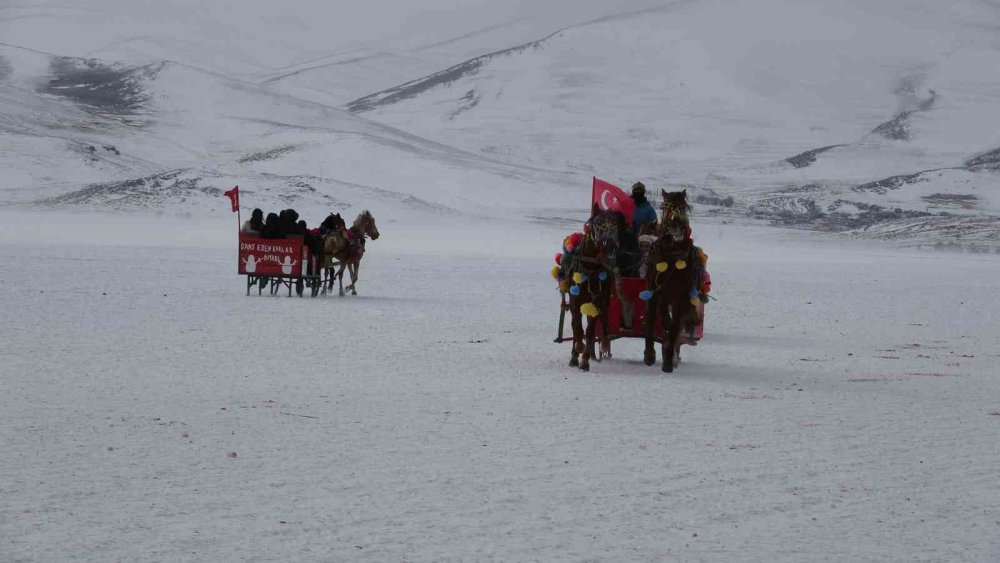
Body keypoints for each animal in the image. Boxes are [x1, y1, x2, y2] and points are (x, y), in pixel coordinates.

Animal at [568, 205, 620, 372]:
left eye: (615, 224)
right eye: (598, 223)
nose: (611, 244)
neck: (590, 268)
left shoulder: (596, 302)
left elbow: (590, 331)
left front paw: (585, 361)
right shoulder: (575, 300)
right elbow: (578, 328)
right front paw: (577, 350)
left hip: (604, 301)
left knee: (603, 322)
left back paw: (601, 345)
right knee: (574, 325)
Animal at [644, 192, 700, 372]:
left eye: (684, 207)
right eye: (664, 206)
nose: (676, 223)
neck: (673, 257)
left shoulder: (682, 299)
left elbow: (676, 328)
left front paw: (668, 361)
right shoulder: (655, 291)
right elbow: (655, 316)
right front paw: (649, 355)